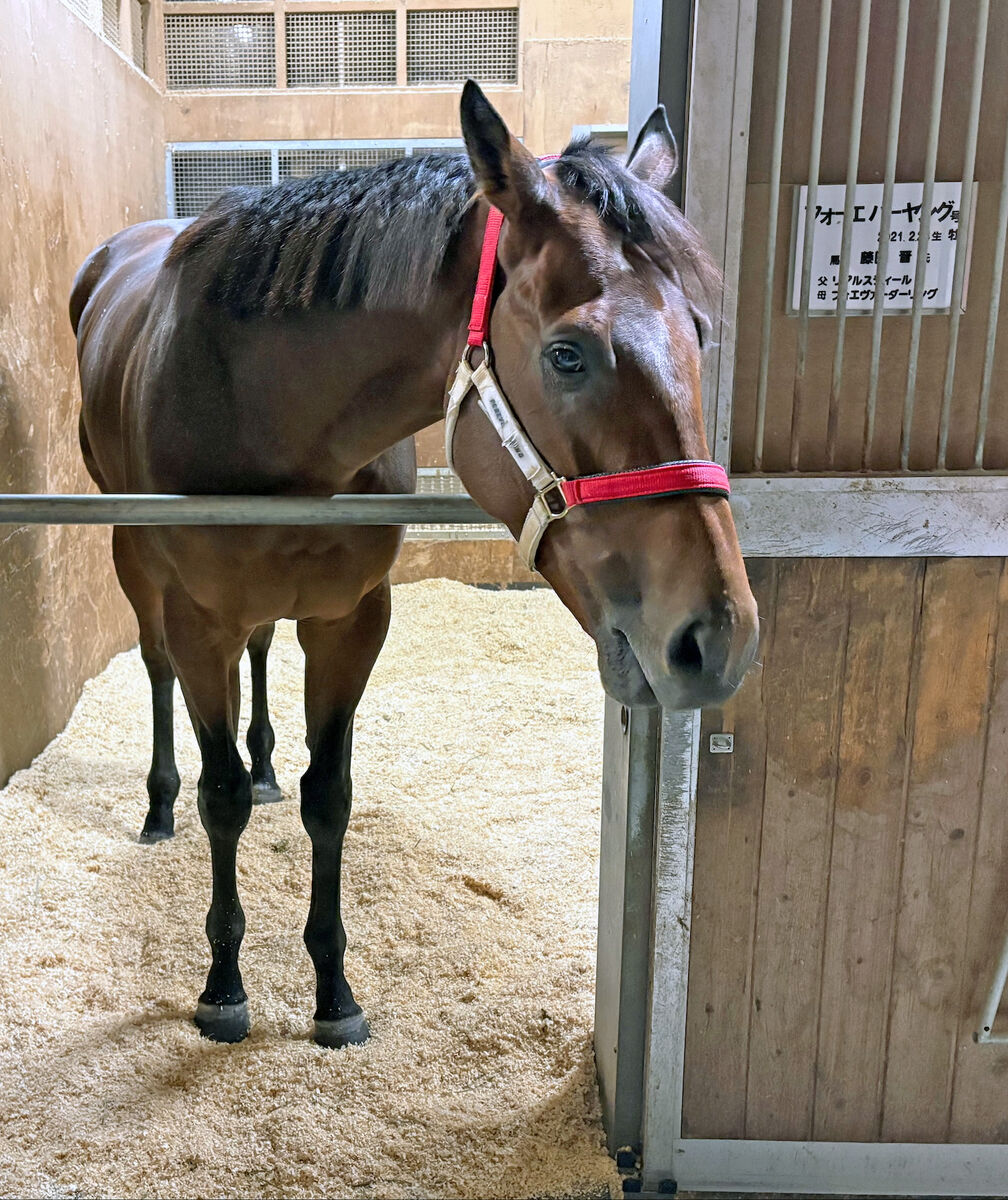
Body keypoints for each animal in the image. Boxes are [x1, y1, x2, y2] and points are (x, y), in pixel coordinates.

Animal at [72, 82, 758, 1051]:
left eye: (697, 333)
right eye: (568, 354)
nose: (720, 637)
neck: (265, 410)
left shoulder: (352, 619)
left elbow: (329, 796)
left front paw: (333, 992)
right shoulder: (203, 622)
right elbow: (221, 799)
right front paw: (224, 987)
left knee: (262, 655)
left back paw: (264, 765)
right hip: (134, 559)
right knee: (158, 670)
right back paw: (159, 806)